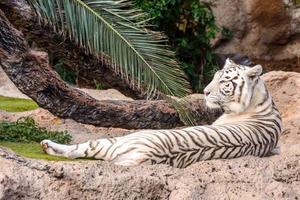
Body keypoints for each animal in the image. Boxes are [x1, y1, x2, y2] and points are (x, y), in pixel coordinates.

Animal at [39, 59, 282, 167]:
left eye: (224, 82)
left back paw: (48, 145)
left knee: (80, 149)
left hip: (126, 138)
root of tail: (148, 154)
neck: (262, 102)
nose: (204, 91)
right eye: (215, 76)